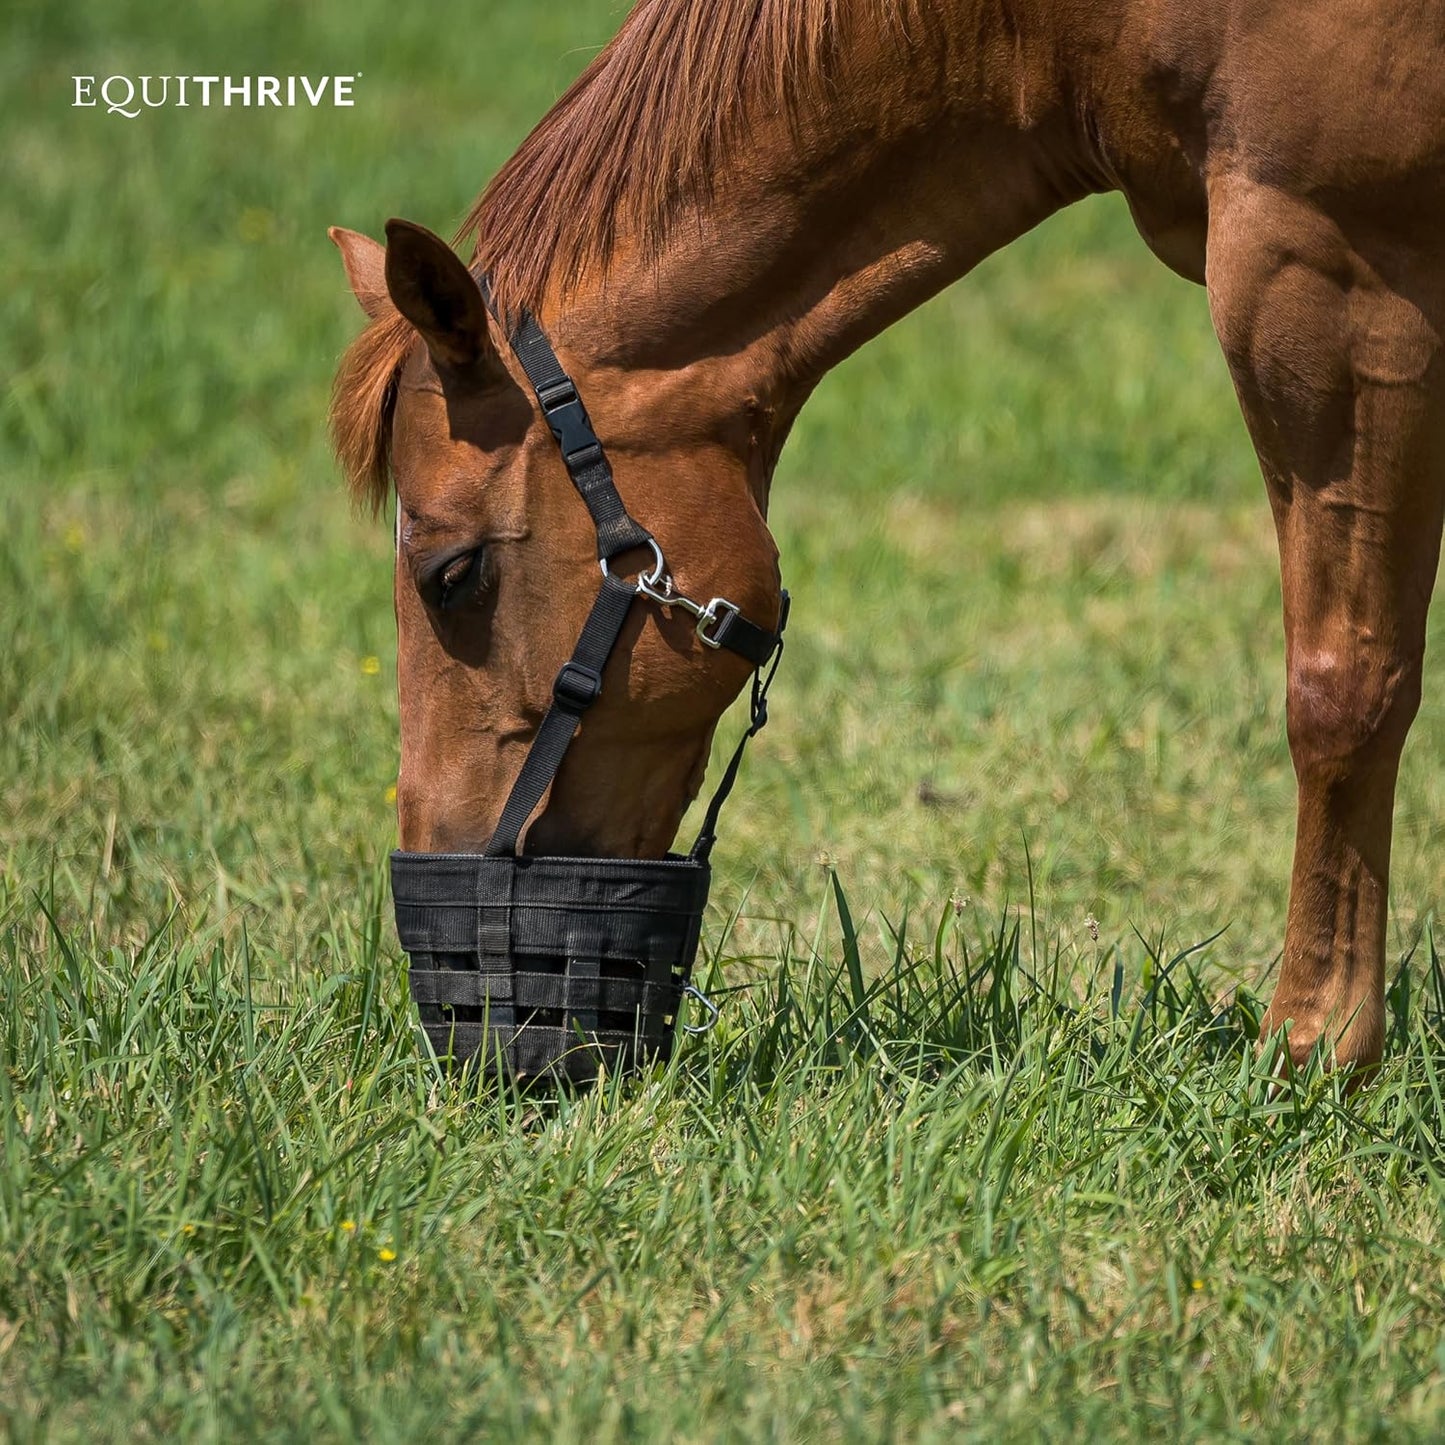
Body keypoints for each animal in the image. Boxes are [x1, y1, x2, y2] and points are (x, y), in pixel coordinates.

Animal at [329, 0, 1445, 1079]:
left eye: (452, 574)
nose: (451, 1009)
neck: (1080, 24)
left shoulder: (1333, 272)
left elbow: (1342, 690)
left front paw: (1313, 1051)